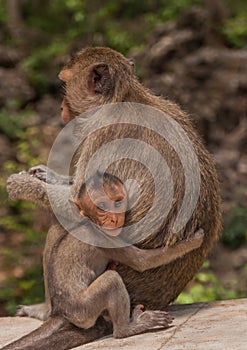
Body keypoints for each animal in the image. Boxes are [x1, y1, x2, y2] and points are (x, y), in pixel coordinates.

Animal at [5, 47, 222, 350]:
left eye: (65, 82)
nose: (61, 107)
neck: (124, 98)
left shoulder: (102, 133)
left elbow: (78, 200)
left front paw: (21, 184)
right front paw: (43, 174)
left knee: (63, 227)